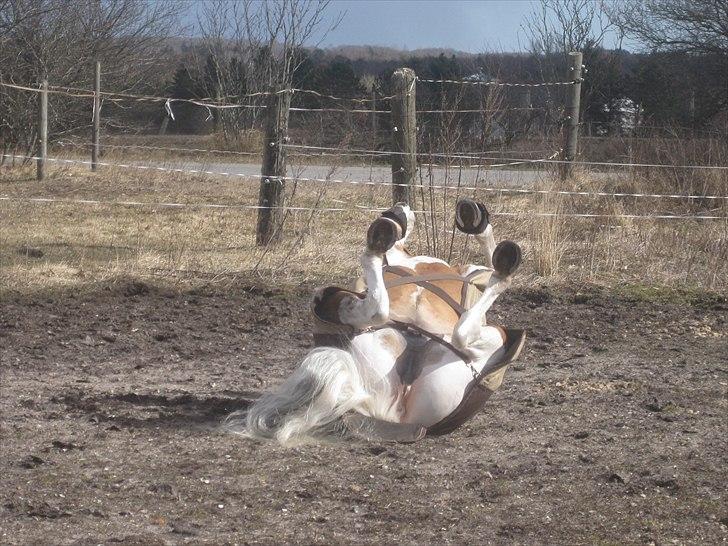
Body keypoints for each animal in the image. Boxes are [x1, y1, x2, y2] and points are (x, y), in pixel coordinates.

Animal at [225, 198, 526, 446]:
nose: (401, 206)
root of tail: (396, 415)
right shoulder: (471, 272)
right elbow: (485, 259)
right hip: (487, 339)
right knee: (454, 328)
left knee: (381, 309)